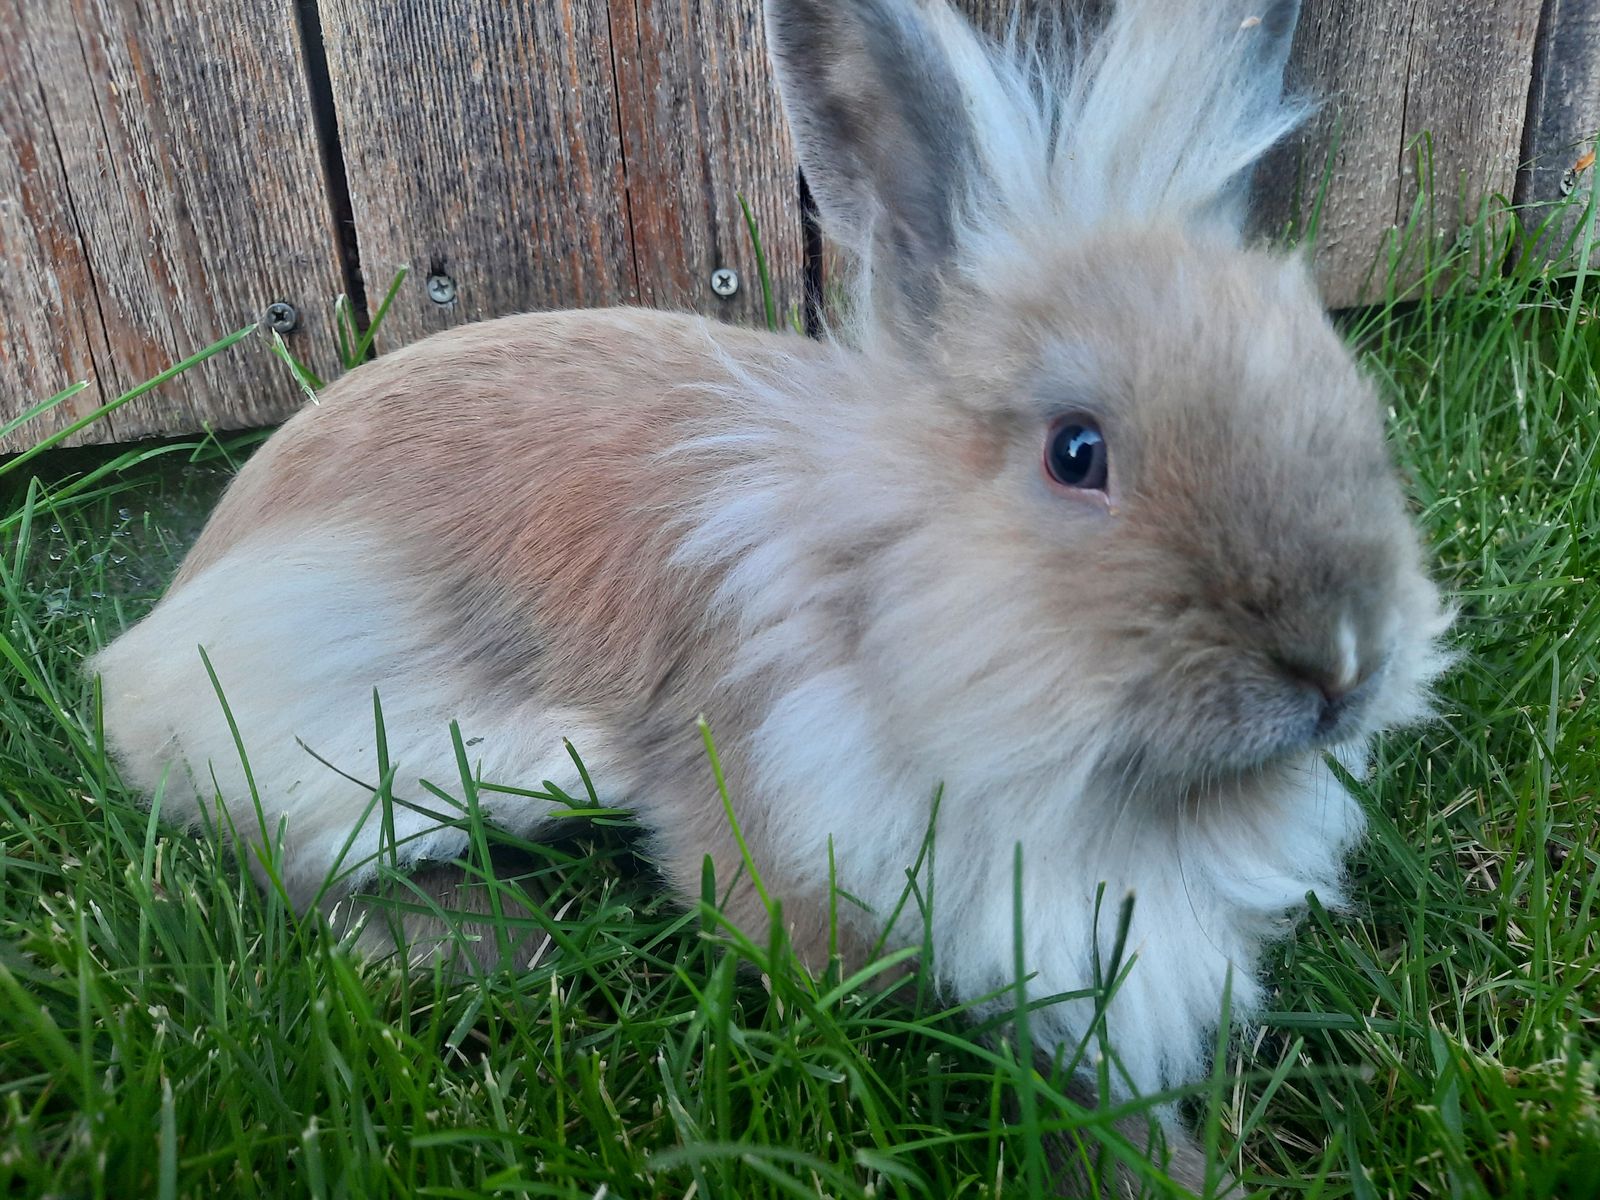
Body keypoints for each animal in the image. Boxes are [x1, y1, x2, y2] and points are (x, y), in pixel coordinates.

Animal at [93, 0, 1452, 1189]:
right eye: (1077, 452)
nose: (1340, 666)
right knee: (280, 865)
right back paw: (487, 943)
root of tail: (148, 645)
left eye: (1347, 396)